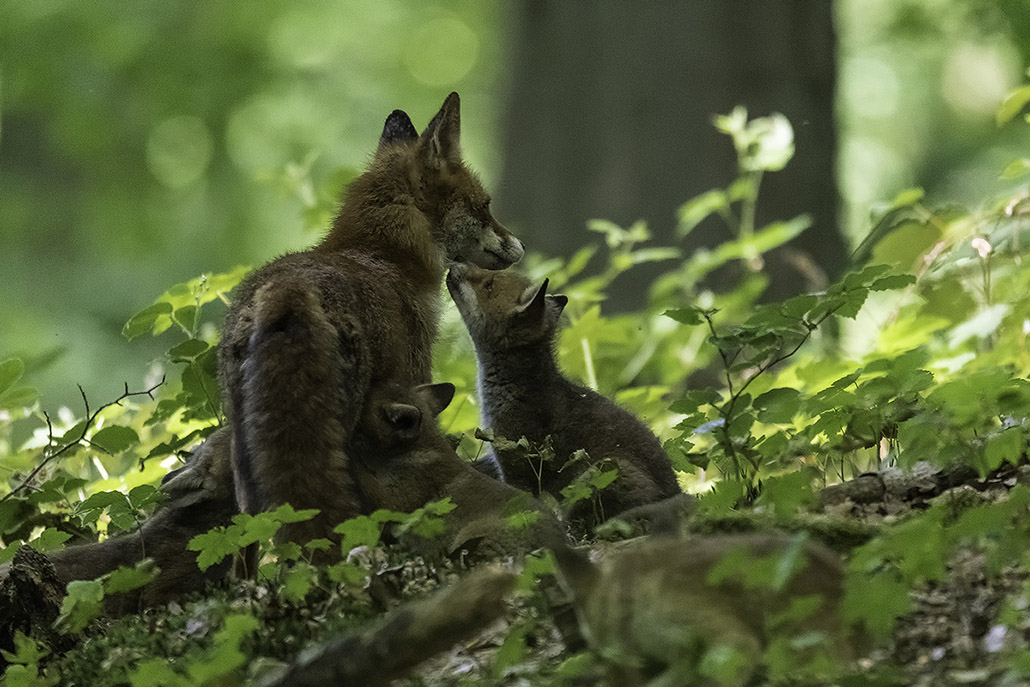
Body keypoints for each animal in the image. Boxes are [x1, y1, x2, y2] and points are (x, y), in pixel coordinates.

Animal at [218, 93, 524, 546]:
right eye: (484, 206)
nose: (519, 246)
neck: (382, 256)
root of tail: (288, 291)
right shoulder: (413, 380)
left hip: (244, 452)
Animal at [446, 265, 680, 528]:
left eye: (489, 284)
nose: (453, 265)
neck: (516, 387)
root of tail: (676, 493)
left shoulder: (517, 464)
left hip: (603, 472)